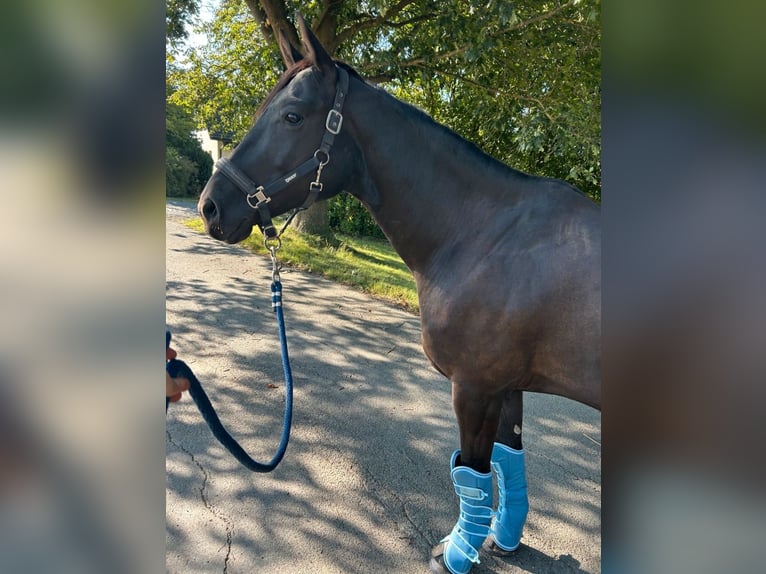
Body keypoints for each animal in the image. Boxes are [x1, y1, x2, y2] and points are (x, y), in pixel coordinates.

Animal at [197, 14, 600, 574]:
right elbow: (507, 463)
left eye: (293, 116)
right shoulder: (506, 387)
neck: (484, 234)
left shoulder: (474, 388)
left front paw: (456, 555)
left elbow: (472, 474)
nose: (210, 206)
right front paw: (503, 539)